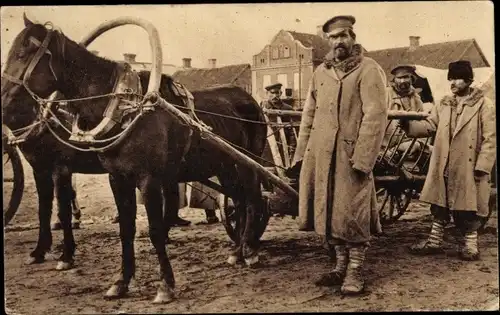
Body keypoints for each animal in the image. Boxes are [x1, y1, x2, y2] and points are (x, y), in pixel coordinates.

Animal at [1, 16, 268, 304]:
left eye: (22, 53)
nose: (2, 101)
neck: (124, 109)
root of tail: (250, 99)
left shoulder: (138, 178)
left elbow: (152, 229)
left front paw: (165, 285)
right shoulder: (111, 177)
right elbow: (122, 228)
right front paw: (120, 281)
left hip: (248, 162)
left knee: (253, 199)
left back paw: (250, 249)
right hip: (225, 165)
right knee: (238, 200)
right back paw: (238, 250)